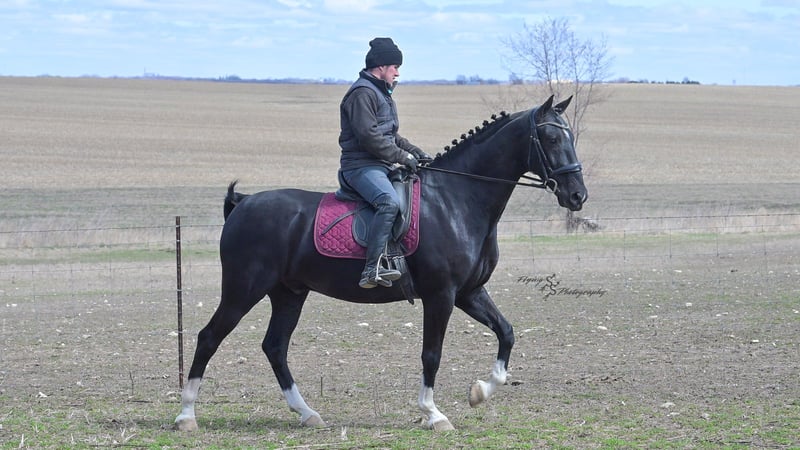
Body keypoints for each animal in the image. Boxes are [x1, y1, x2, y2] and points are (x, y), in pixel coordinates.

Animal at [174, 95, 587, 432]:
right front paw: (433, 414)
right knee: (209, 338)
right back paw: (186, 416)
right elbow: (431, 354)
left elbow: (507, 332)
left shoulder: (469, 292)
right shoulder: (441, 295)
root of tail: (243, 204)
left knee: (275, 347)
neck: (457, 199)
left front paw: (480, 392)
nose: (577, 196)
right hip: (243, 289)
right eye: (552, 140)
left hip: (288, 293)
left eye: (570, 138)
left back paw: (307, 413)